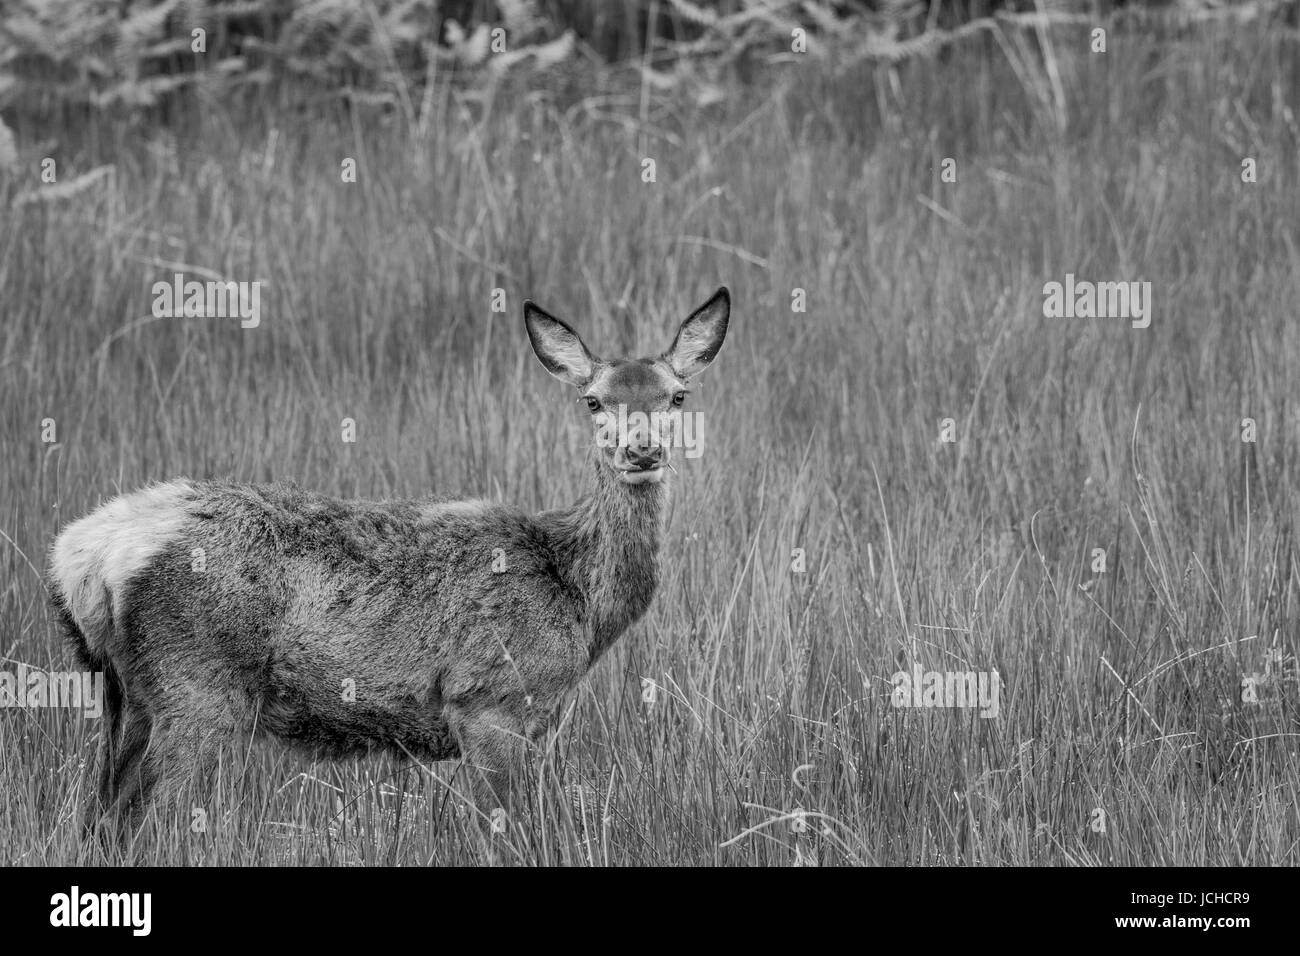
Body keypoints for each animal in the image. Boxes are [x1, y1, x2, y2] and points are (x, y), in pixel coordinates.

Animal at [48, 286, 733, 837]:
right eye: (592, 400)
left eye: (678, 396)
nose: (642, 450)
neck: (581, 601)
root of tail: (81, 557)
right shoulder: (489, 700)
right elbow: (501, 834)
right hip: (196, 685)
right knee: (144, 822)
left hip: (124, 695)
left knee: (98, 821)